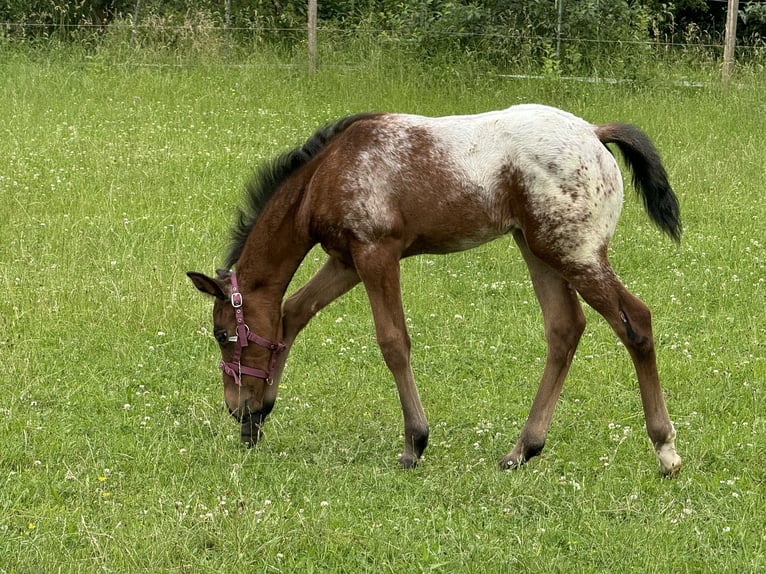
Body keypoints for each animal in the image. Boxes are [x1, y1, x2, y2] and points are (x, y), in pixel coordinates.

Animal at [188, 103, 684, 476]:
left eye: (223, 334)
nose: (235, 409)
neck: (325, 174)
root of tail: (595, 133)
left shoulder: (376, 254)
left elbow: (393, 342)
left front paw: (415, 442)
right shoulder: (345, 261)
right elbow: (291, 314)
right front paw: (259, 416)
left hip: (574, 254)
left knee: (636, 322)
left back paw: (666, 451)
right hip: (537, 248)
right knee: (564, 329)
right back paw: (522, 450)